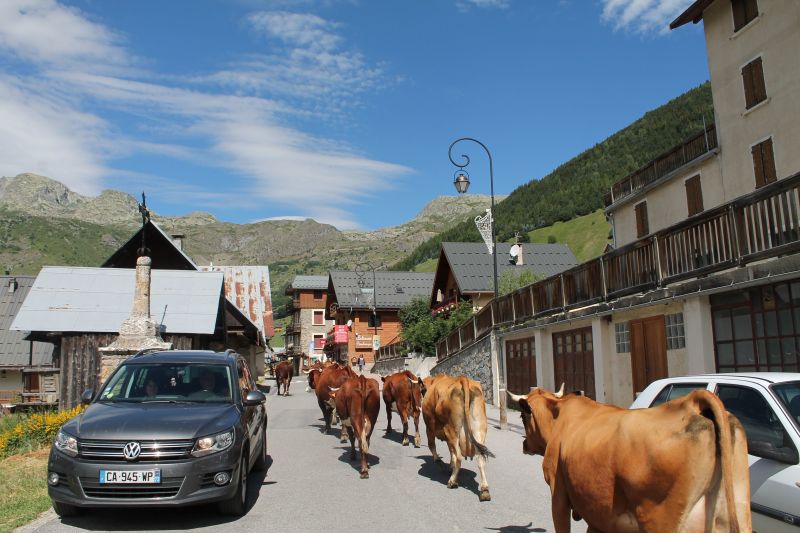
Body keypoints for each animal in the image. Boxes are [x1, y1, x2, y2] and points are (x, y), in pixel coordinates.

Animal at [422, 372, 490, 500]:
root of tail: (462, 379)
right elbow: (451, 452)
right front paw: (450, 466)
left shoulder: (430, 428)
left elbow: (432, 446)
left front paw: (440, 462)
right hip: (479, 430)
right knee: (480, 457)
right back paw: (484, 490)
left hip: (452, 430)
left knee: (458, 456)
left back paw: (452, 481)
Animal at [510, 386, 752, 532]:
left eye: (522, 416)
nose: (524, 445)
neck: (559, 418)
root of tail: (691, 403)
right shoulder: (599, 514)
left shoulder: (558, 492)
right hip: (737, 509)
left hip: (660, 520)